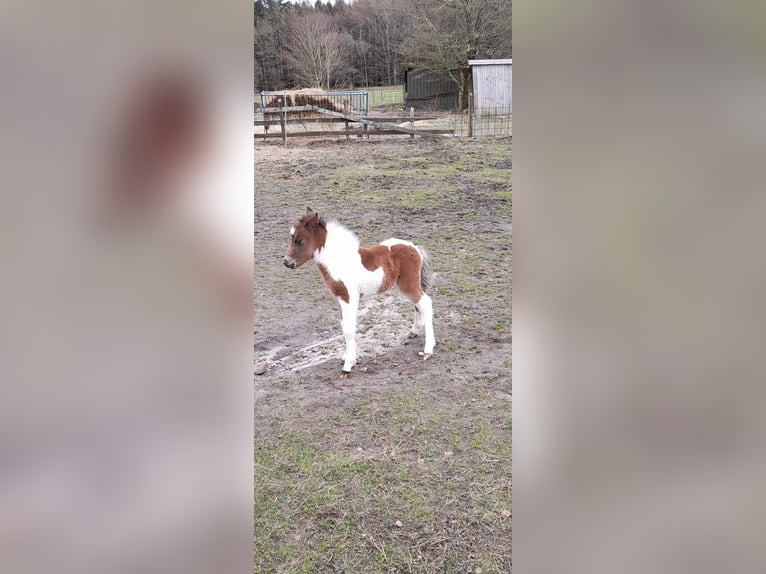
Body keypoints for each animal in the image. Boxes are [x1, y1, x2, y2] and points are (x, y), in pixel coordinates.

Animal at [284, 208, 438, 378]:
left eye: (299, 240)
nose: (286, 262)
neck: (339, 261)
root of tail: (415, 248)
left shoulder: (349, 297)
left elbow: (349, 329)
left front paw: (347, 365)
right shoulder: (340, 298)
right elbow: (344, 325)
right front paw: (346, 357)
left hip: (408, 284)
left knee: (425, 304)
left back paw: (428, 350)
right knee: (418, 305)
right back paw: (414, 332)